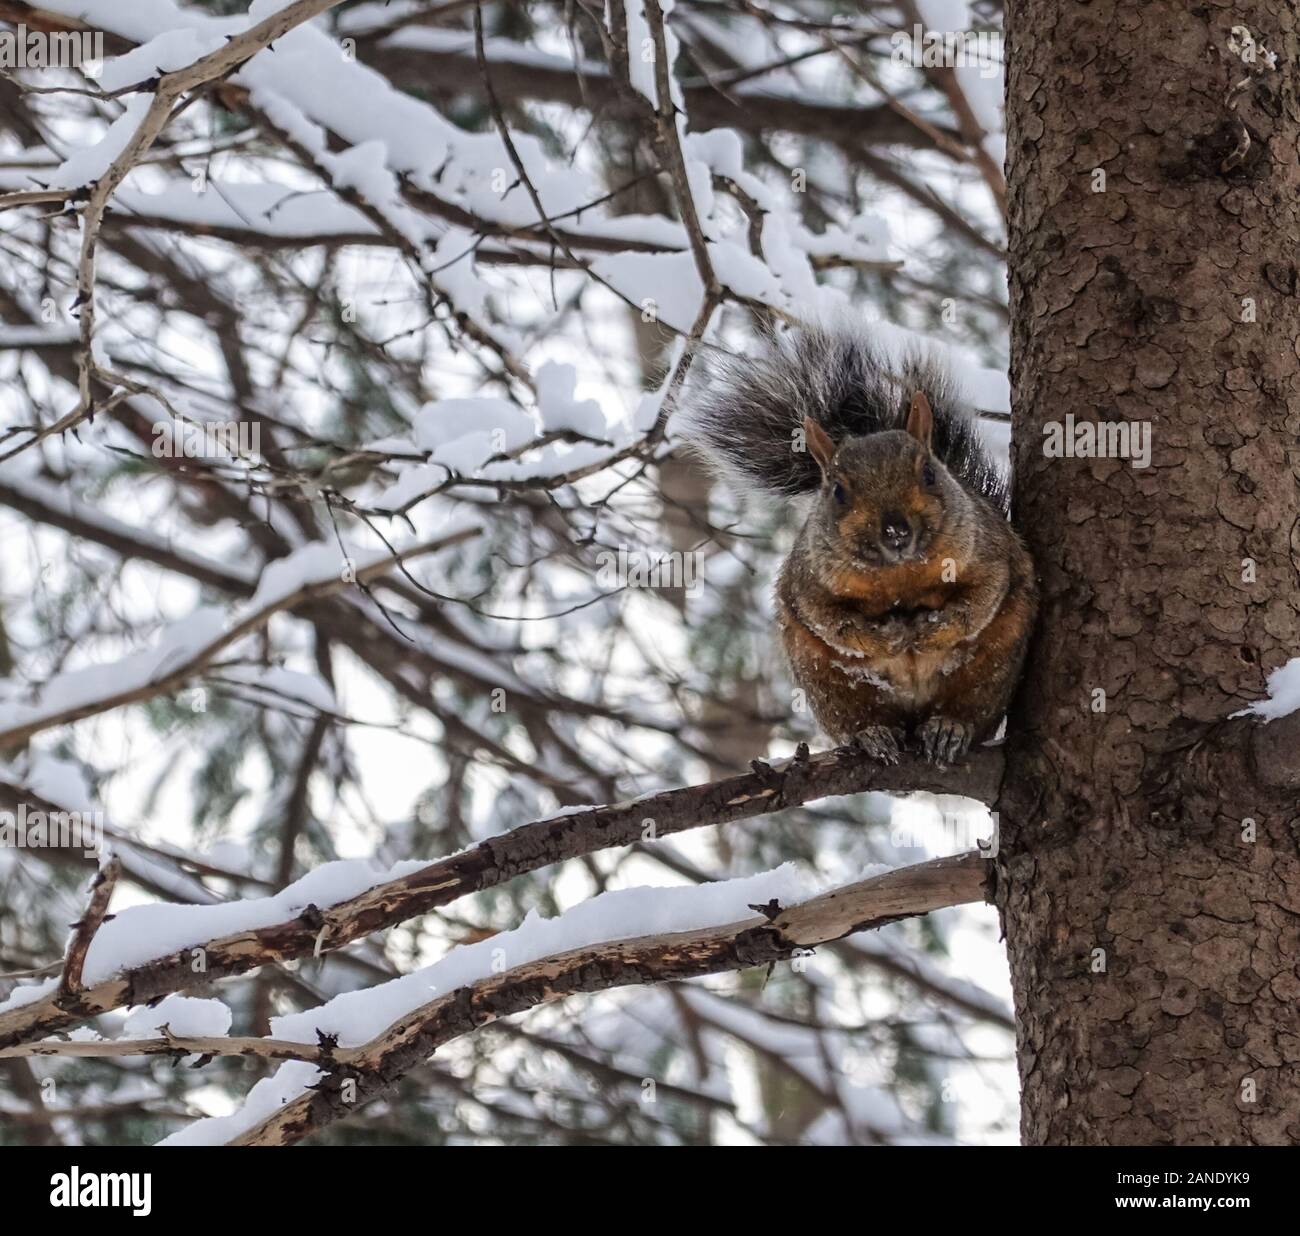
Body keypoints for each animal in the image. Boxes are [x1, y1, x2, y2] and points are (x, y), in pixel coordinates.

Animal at [681, 323, 1034, 764]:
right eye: (837, 492)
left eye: (930, 473)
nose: (896, 531)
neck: (900, 574)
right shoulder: (807, 583)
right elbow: (832, 621)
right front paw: (889, 638)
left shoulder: (991, 553)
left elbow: (979, 601)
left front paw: (931, 629)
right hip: (831, 689)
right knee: (858, 719)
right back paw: (874, 735)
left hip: (989, 677)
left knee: (966, 710)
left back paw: (948, 728)